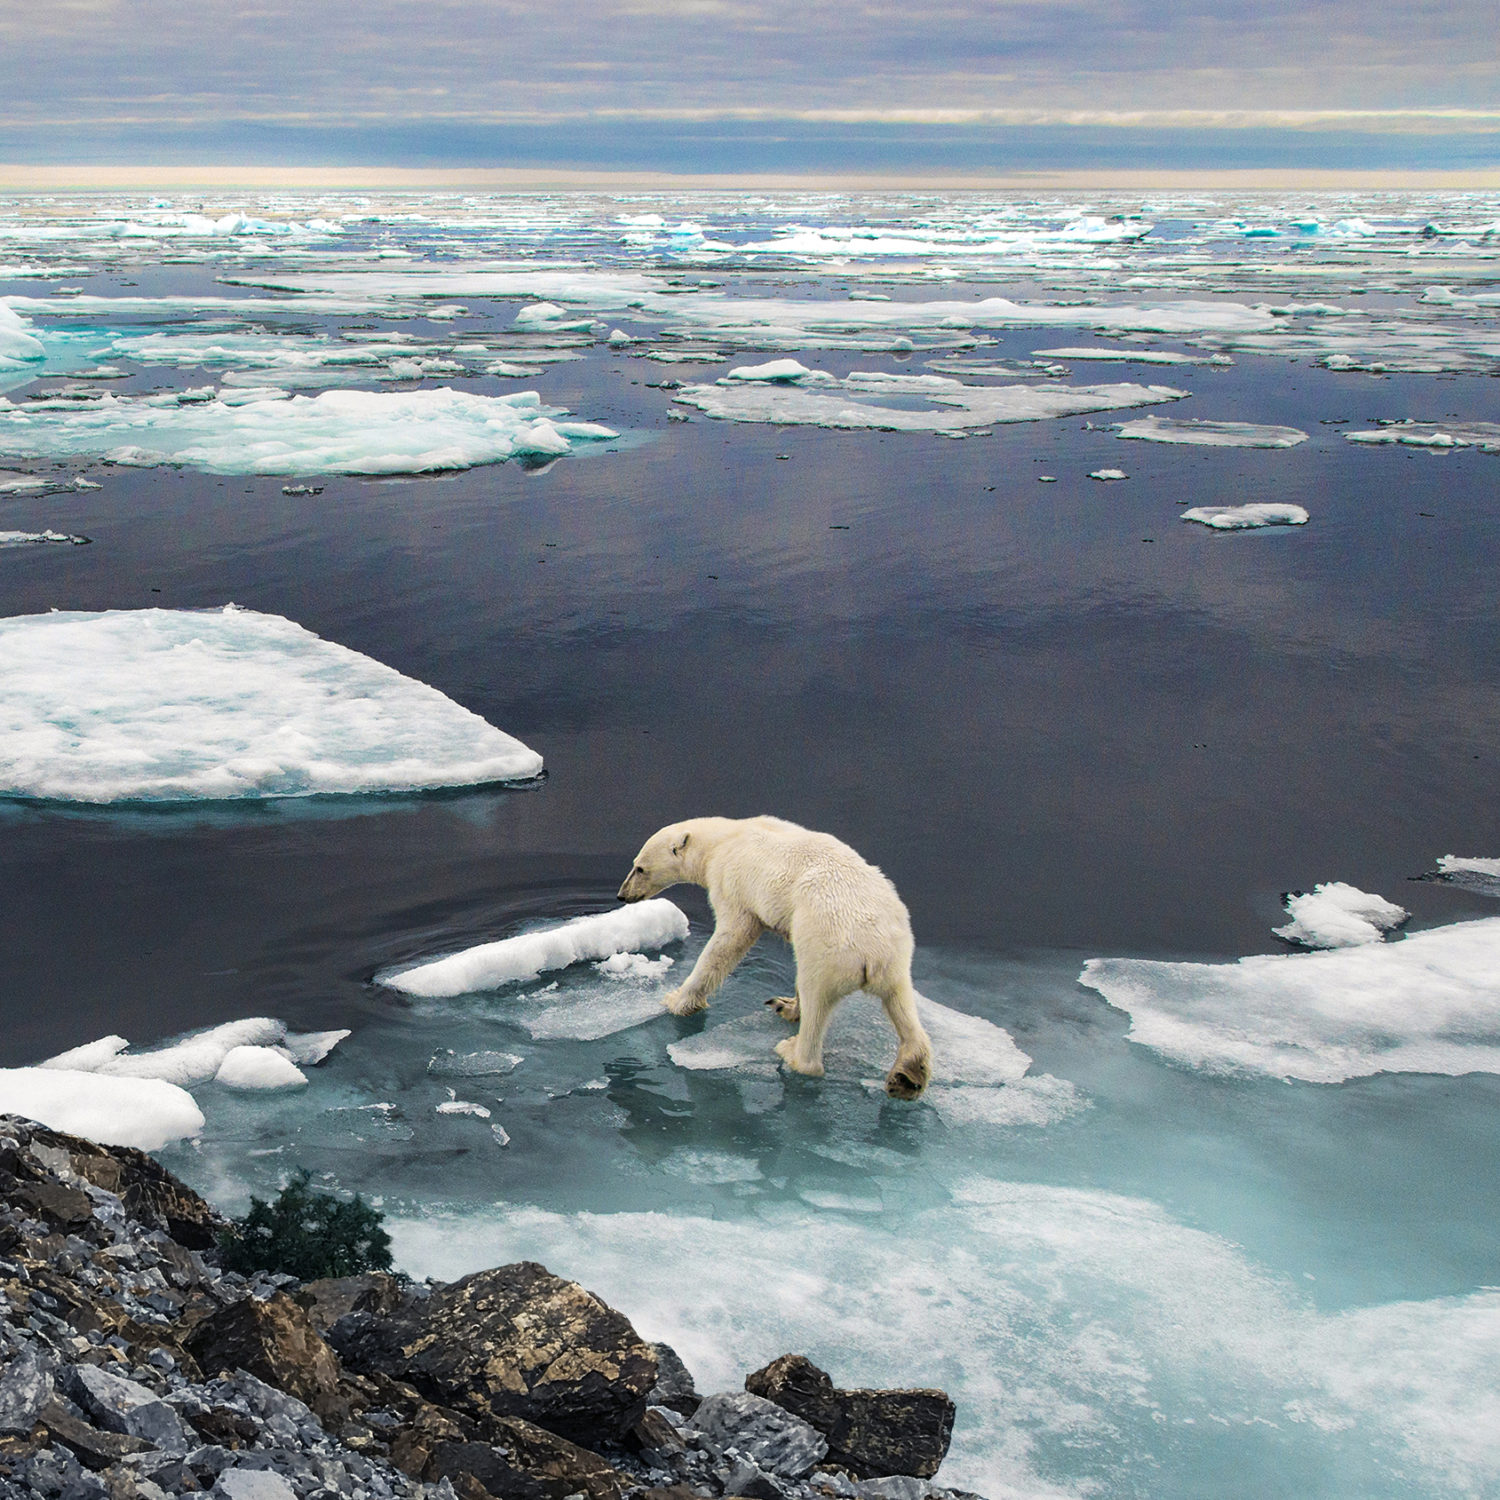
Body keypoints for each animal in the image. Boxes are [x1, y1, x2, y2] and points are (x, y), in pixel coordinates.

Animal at [618, 816, 924, 1098]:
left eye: (640, 867)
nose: (622, 895)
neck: (724, 838)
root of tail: (875, 952)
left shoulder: (731, 879)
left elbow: (730, 937)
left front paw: (677, 999)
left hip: (828, 945)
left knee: (815, 996)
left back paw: (793, 1049)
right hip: (897, 957)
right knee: (901, 1004)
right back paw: (907, 1075)